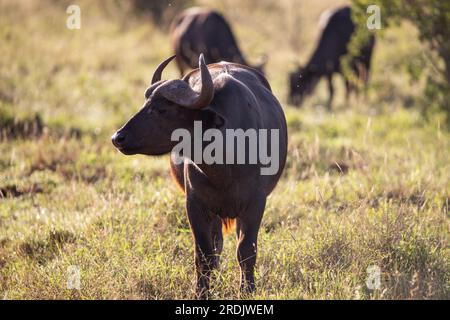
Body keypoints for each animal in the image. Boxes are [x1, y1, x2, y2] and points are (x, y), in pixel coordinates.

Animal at [112, 53, 288, 298]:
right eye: (145, 104)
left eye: (163, 109)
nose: (118, 137)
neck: (224, 165)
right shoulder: (196, 205)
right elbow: (204, 254)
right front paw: (201, 292)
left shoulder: (255, 203)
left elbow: (246, 250)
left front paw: (247, 290)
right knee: (217, 246)